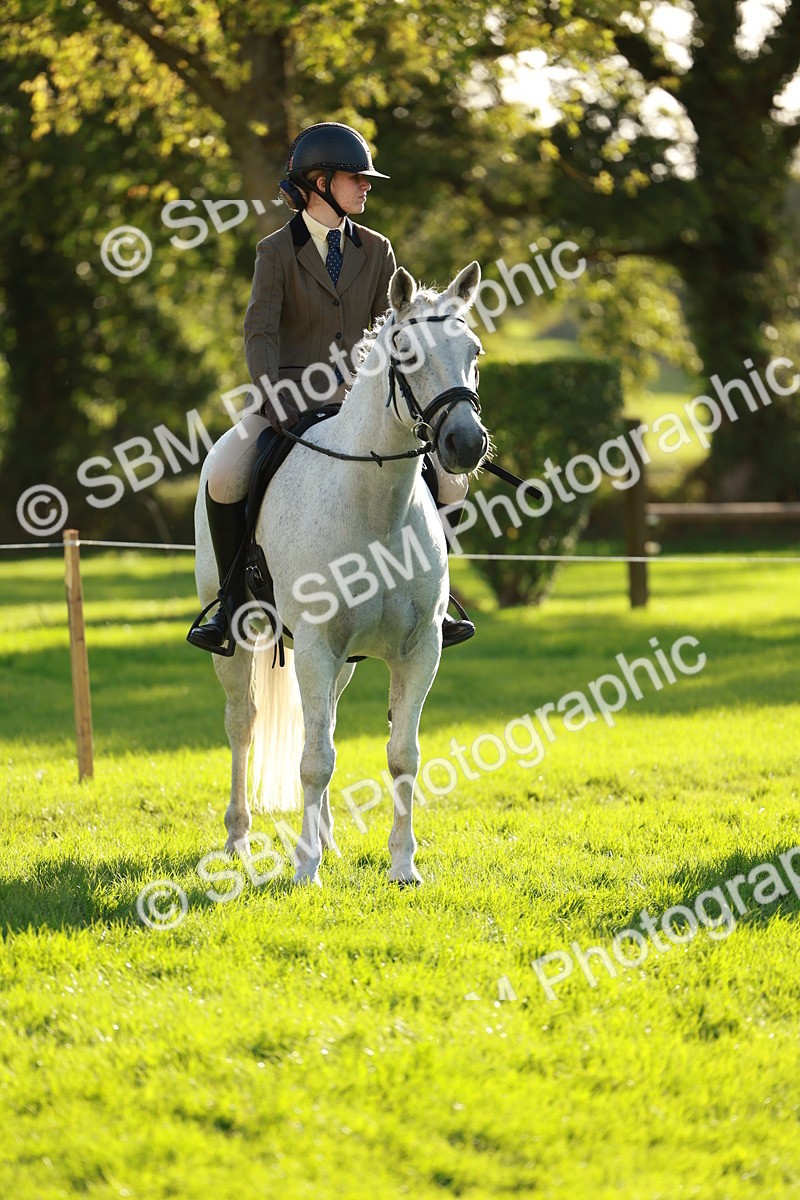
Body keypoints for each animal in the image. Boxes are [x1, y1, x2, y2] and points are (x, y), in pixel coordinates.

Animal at [193, 260, 488, 886]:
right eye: (406, 353)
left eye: (473, 350)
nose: (465, 444)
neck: (376, 507)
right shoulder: (314, 644)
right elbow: (314, 760)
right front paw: (305, 871)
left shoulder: (419, 649)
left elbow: (402, 754)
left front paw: (403, 865)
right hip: (242, 639)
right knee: (243, 724)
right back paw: (239, 842)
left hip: (340, 659)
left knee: (322, 718)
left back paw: (326, 839)